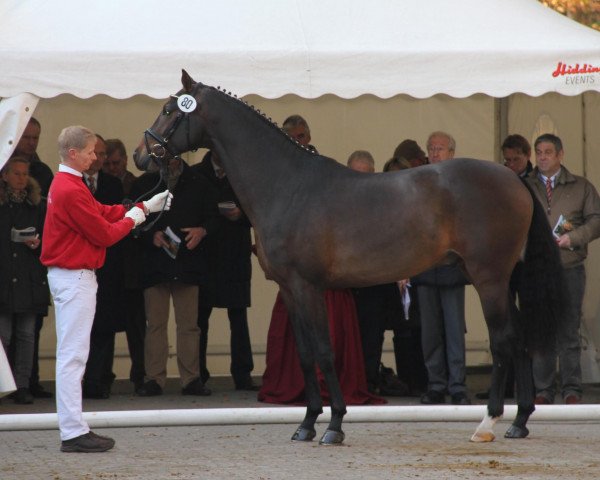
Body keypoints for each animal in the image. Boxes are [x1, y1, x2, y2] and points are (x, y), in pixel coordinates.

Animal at [134, 70, 564, 446]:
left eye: (170, 109)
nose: (141, 156)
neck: (288, 186)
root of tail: (515, 179)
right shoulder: (290, 290)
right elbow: (305, 354)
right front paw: (306, 424)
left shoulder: (308, 287)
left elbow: (325, 352)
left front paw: (334, 426)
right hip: (502, 281)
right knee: (520, 338)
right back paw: (520, 421)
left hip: (488, 278)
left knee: (503, 341)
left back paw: (488, 422)